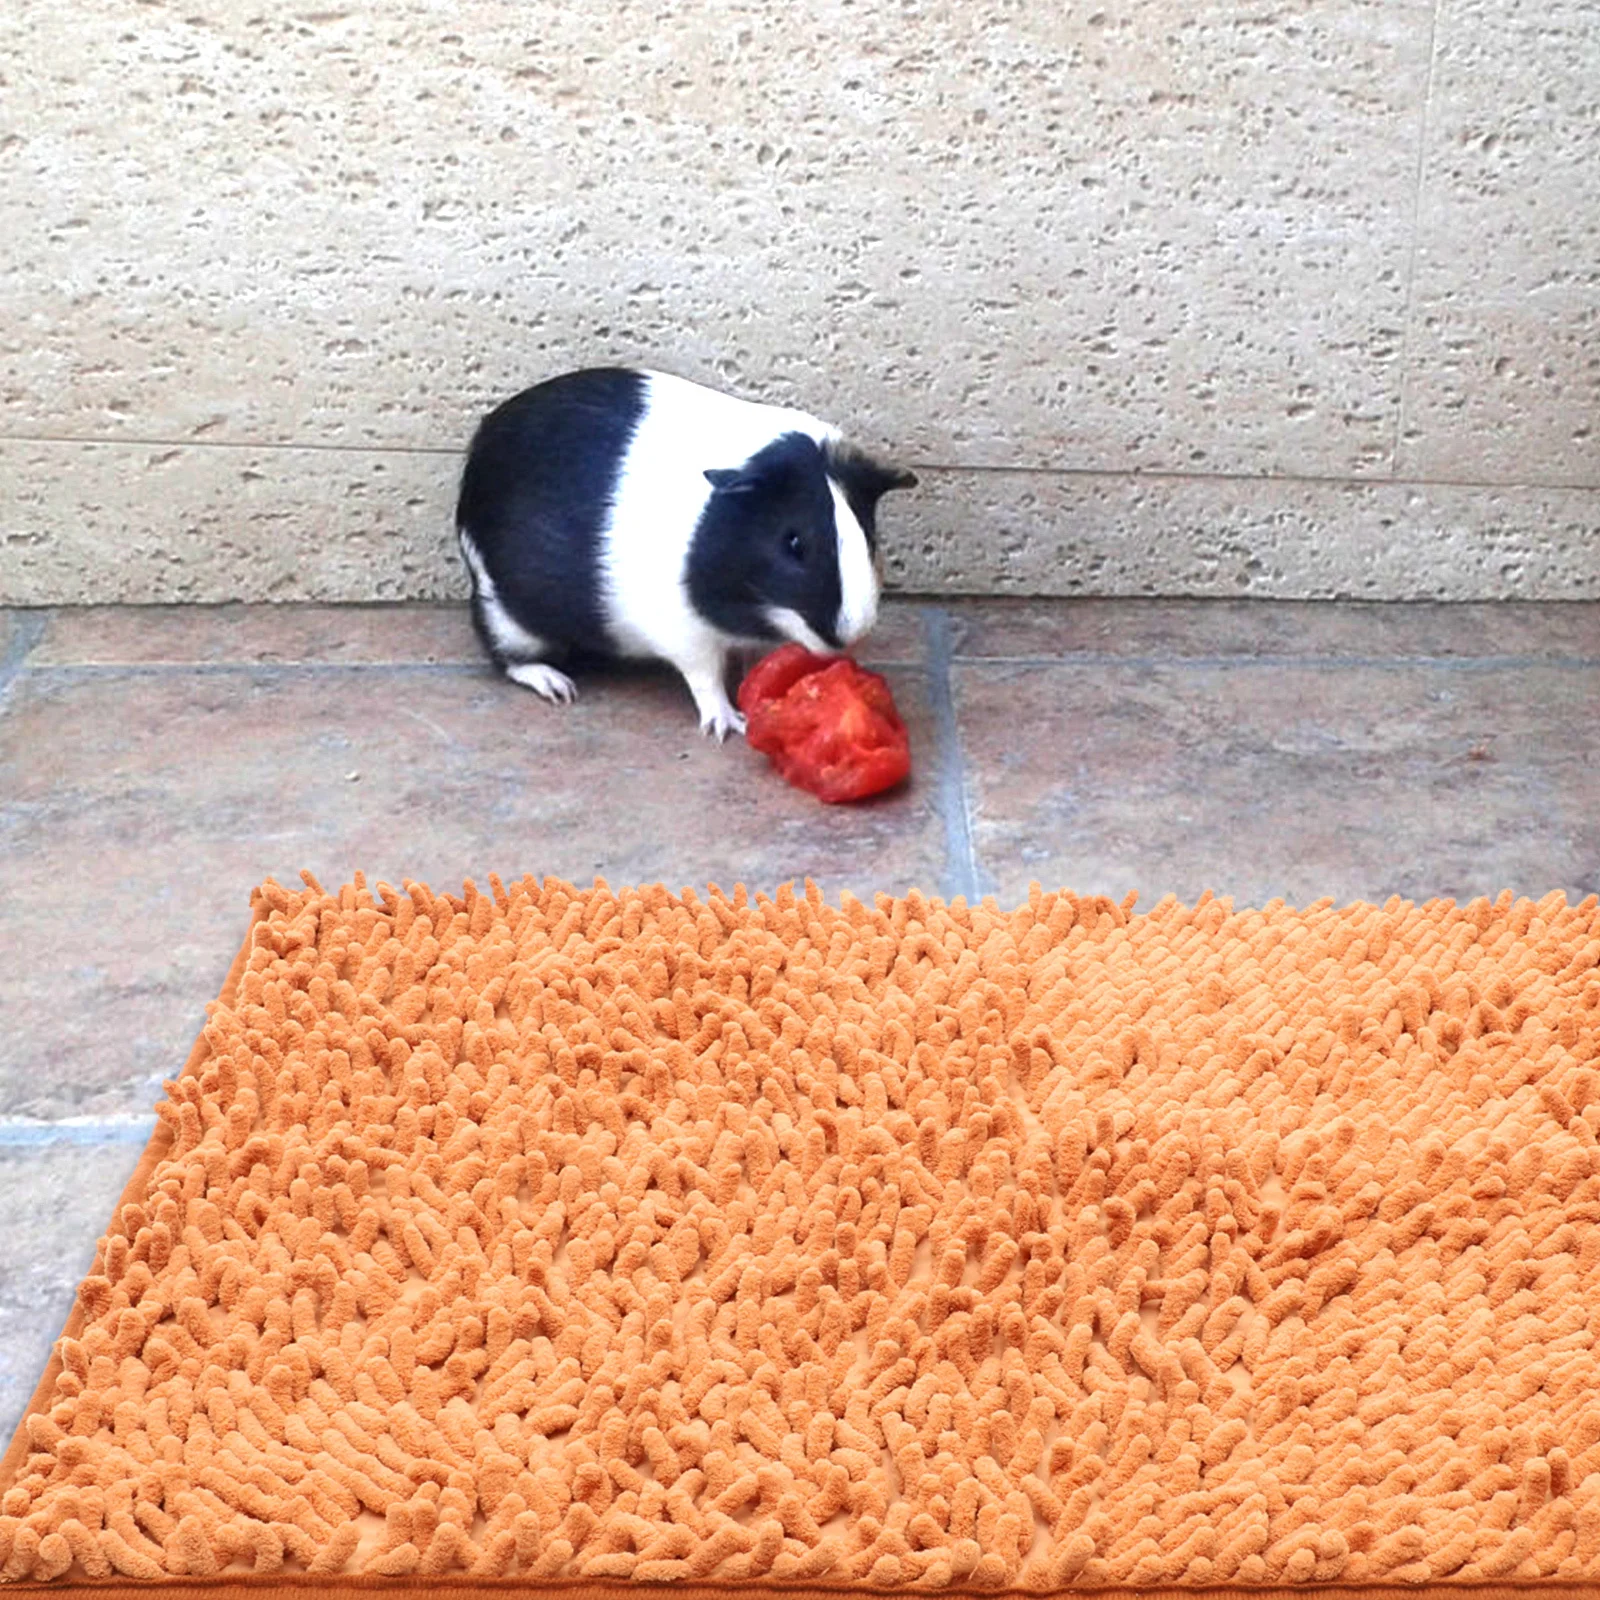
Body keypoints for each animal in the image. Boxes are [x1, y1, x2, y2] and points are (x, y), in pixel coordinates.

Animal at [455, 367, 917, 739]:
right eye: (794, 542)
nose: (850, 635)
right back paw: (558, 687)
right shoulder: (685, 635)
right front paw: (727, 727)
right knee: (508, 659)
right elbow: (705, 679)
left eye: (868, 533)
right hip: (508, 621)